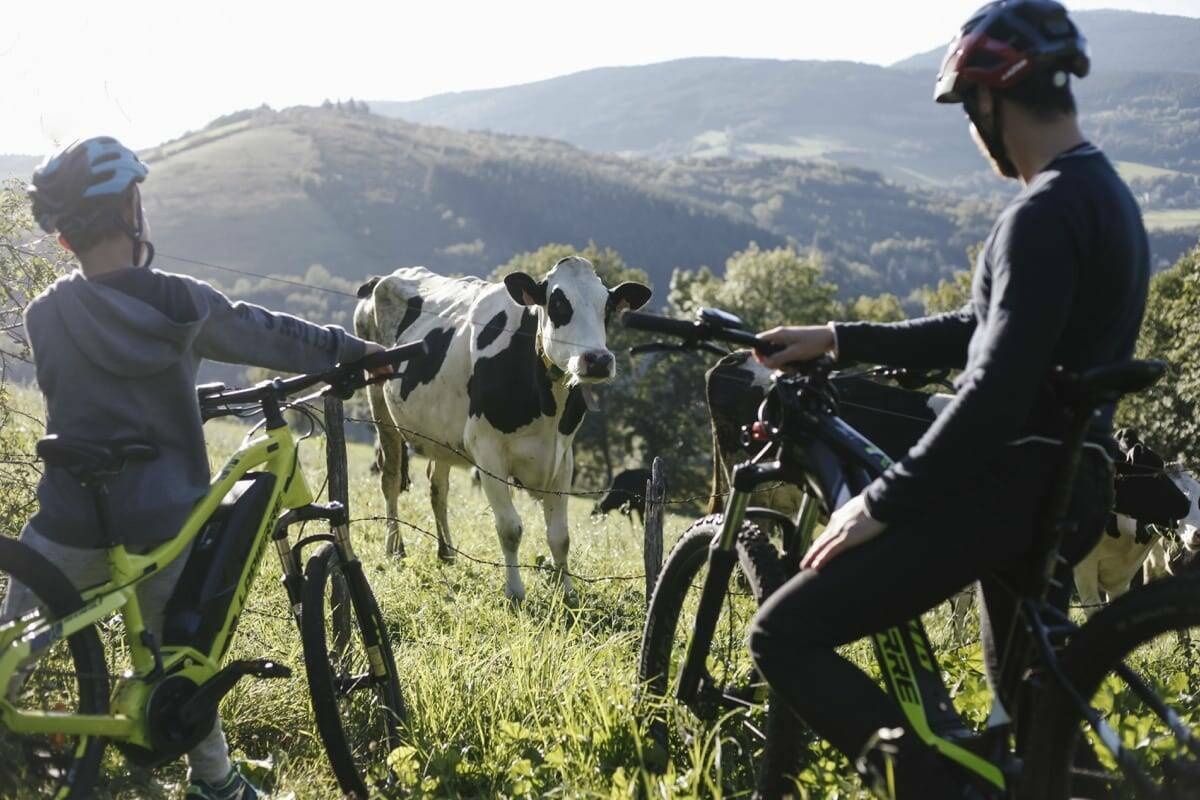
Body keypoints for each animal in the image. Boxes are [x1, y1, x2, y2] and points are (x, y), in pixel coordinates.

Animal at [355, 256, 652, 599]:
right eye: (557, 303)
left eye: (607, 307)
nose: (599, 360)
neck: (546, 406)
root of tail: (381, 279)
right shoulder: (487, 451)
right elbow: (510, 528)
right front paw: (515, 593)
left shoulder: (563, 458)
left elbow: (560, 535)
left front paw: (567, 593)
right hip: (380, 405)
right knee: (390, 478)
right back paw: (396, 549)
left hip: (442, 433)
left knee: (437, 487)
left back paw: (447, 552)